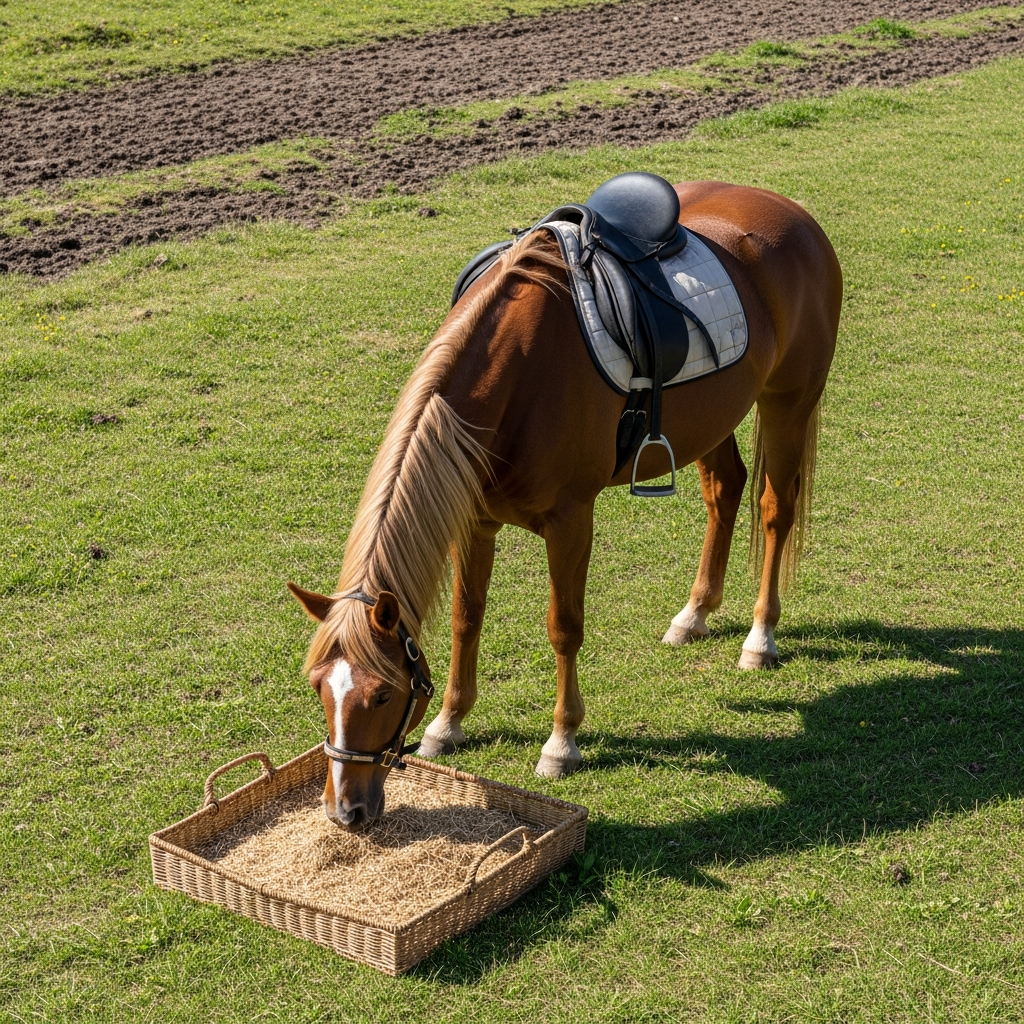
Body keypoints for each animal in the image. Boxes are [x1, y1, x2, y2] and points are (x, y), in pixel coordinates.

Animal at [288, 180, 842, 828]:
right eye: (317, 686)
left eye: (381, 694)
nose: (344, 811)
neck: (518, 376)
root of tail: (791, 212)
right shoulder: (475, 522)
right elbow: (466, 619)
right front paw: (448, 725)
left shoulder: (570, 521)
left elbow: (564, 628)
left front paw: (561, 743)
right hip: (714, 417)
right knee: (725, 491)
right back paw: (694, 614)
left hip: (789, 401)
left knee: (775, 508)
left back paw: (760, 638)